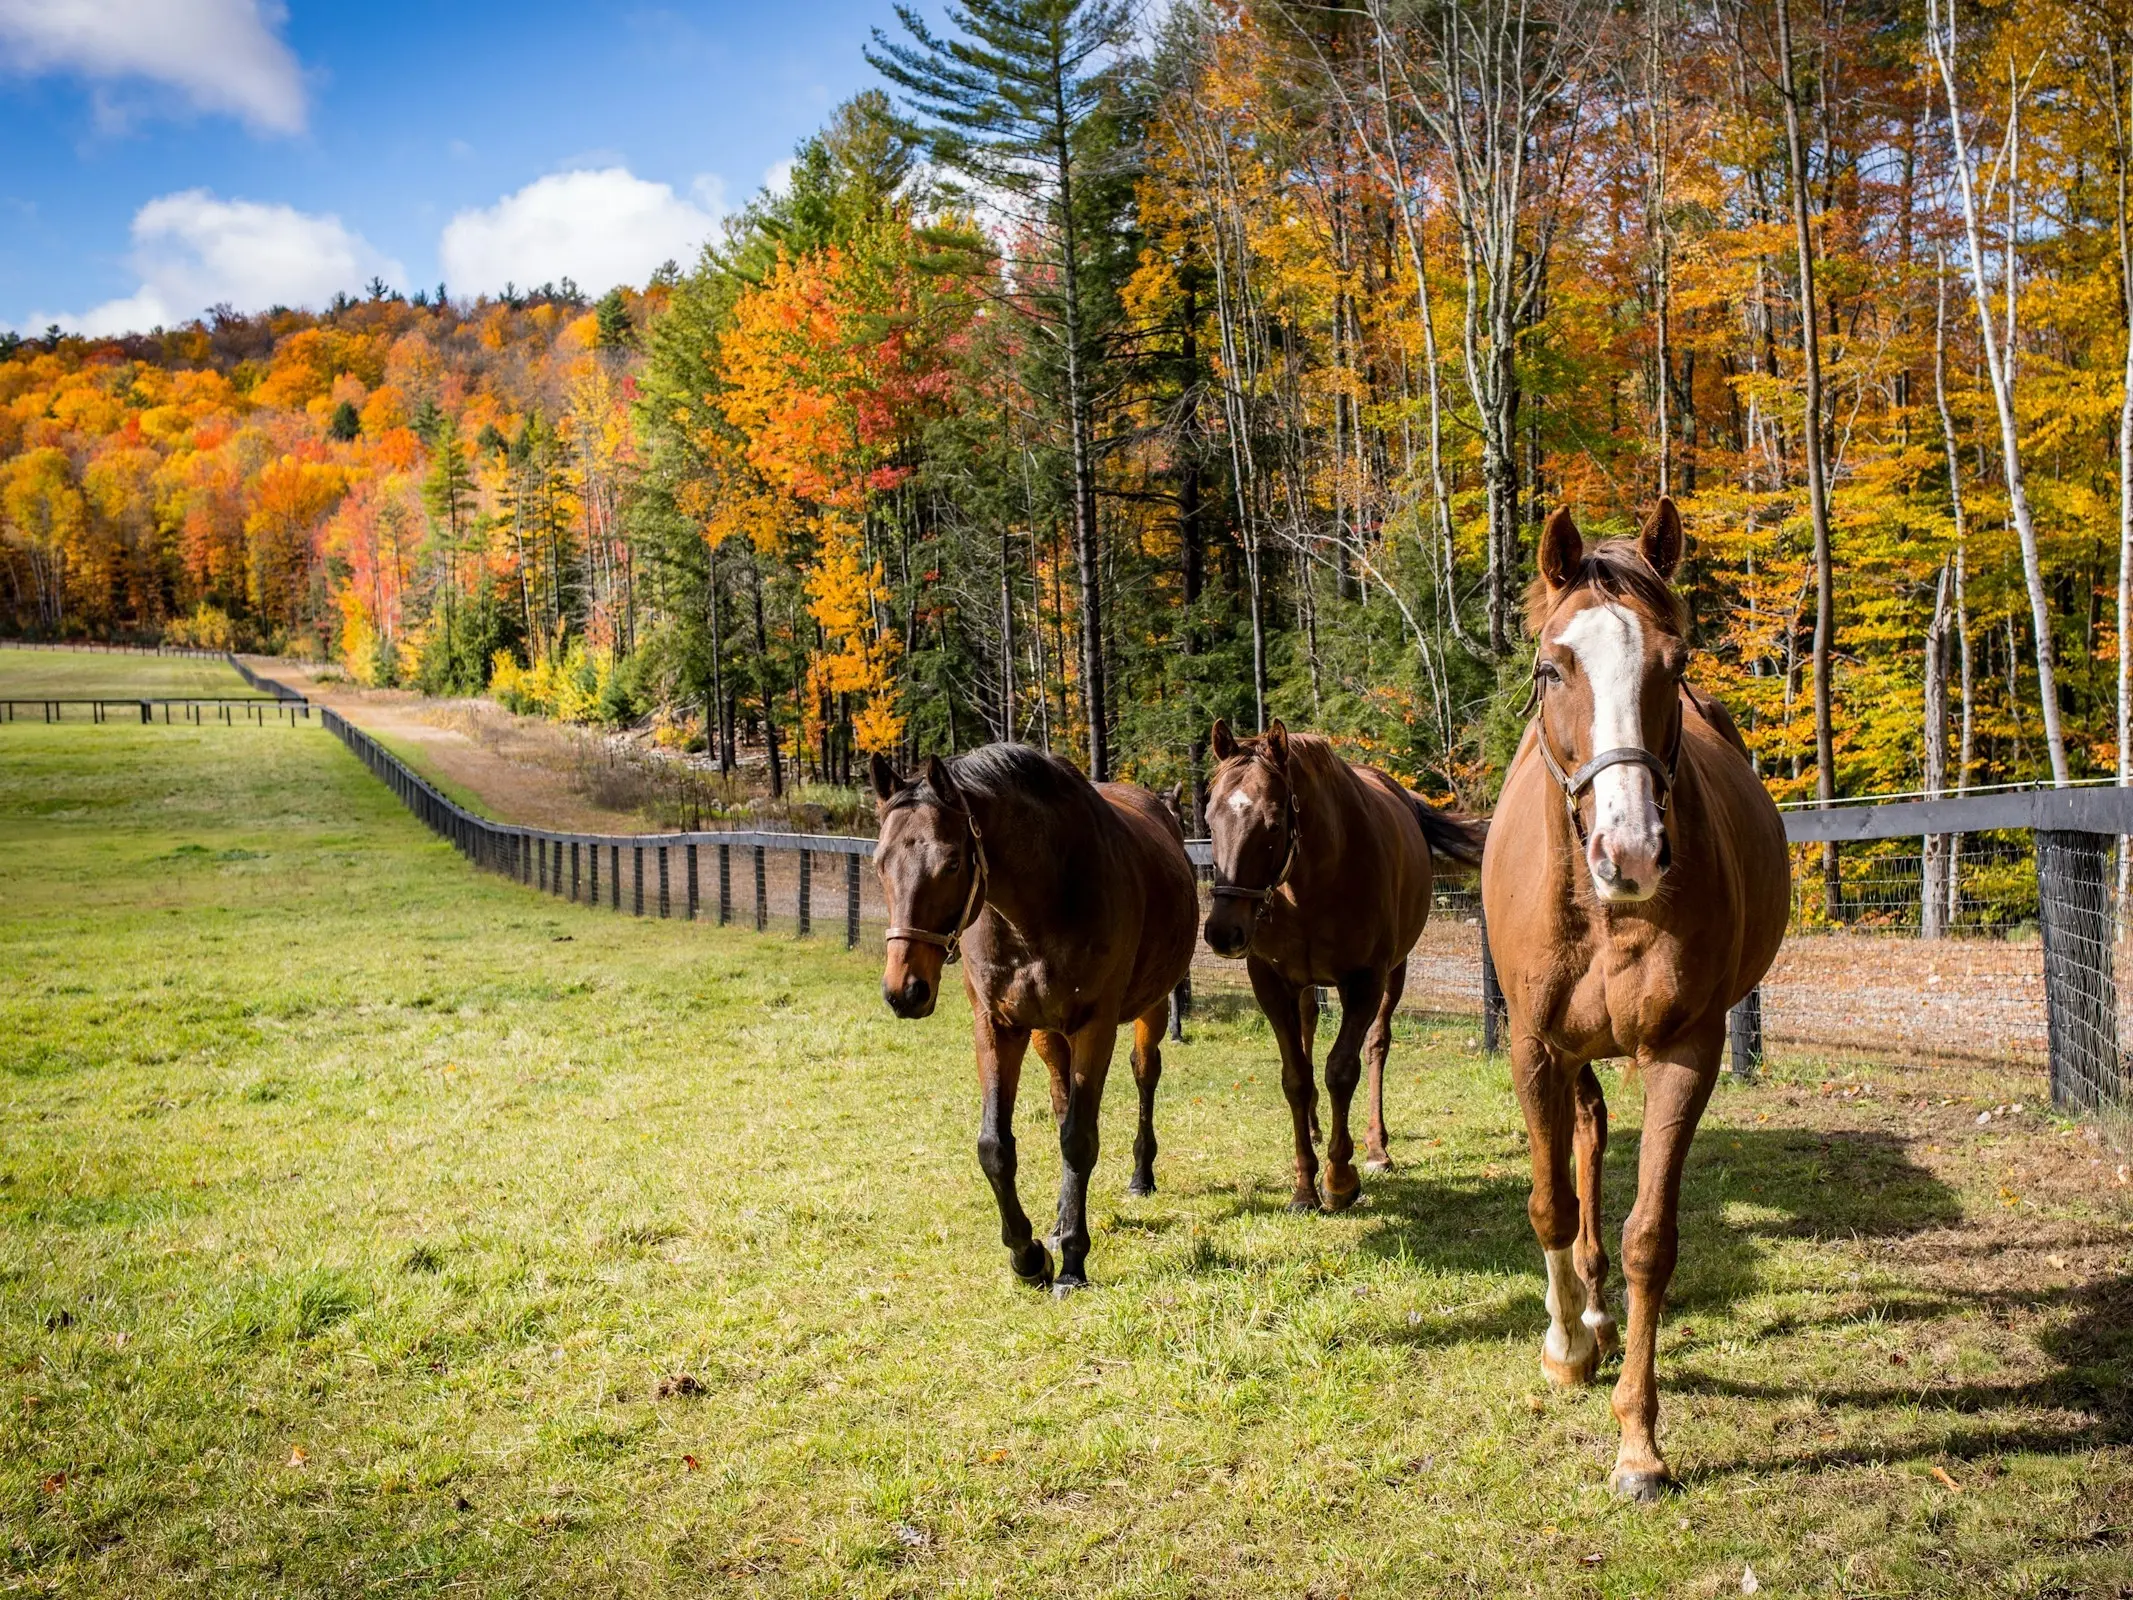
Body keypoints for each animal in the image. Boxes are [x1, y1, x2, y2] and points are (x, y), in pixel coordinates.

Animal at [865, 746, 1203, 1297]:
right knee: (1063, 1098)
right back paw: (1062, 1217)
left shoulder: (1096, 1026)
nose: (904, 990)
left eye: (952, 861)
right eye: (879, 864)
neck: (1043, 898)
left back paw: (1140, 1175)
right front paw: (1028, 1254)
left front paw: (1071, 1262)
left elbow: (1079, 1140)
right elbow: (995, 1146)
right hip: (1047, 1034)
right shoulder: (998, 1026)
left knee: (1143, 1074)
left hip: (1148, 1010)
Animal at [1203, 721, 1484, 1211]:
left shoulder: (1365, 980)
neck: (1311, 882)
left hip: (1395, 973)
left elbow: (1342, 1068)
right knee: (1308, 1029)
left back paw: (1376, 1148)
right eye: (1209, 819)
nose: (1223, 931)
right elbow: (1296, 1076)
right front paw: (1303, 1186)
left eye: (1273, 823)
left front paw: (1338, 1179)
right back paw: (1317, 1128)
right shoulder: (1270, 982)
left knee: (1376, 1046)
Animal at [1484, 501, 1800, 1501]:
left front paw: (1638, 1445)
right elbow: (1549, 1201)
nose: (1628, 851)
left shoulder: (1685, 1052)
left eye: (1676, 661)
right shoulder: (1534, 1048)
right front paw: (1564, 1349)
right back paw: (1581, 1318)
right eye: (1551, 666)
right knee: (1581, 1142)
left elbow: (1647, 1240)